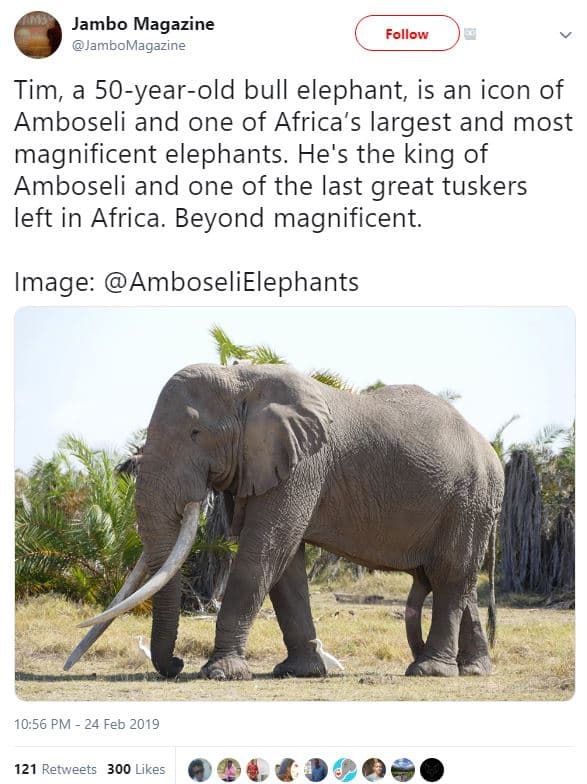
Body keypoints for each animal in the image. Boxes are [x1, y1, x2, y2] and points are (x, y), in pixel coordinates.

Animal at [65, 362, 504, 680]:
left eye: (196, 433)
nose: (175, 666)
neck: (241, 380)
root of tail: (492, 452)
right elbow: (286, 564)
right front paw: (299, 672)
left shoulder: (303, 464)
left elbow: (264, 550)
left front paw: (221, 673)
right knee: (457, 582)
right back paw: (473, 670)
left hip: (471, 498)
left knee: (450, 575)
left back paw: (430, 671)